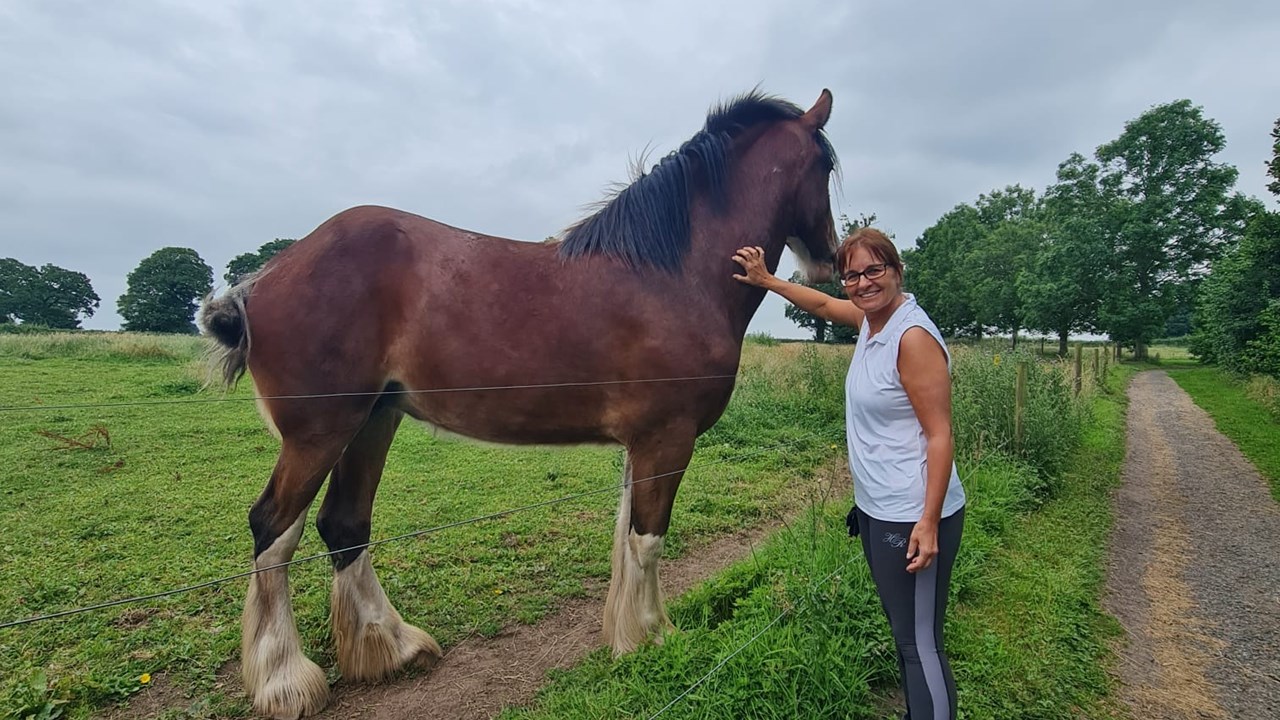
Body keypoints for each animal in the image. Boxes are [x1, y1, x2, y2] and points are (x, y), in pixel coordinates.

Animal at [200, 88, 840, 719]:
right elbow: (648, 539)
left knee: (344, 524)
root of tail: (261, 280)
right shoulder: (668, 438)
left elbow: (626, 535)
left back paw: (392, 646)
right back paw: (285, 682)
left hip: (372, 422)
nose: (830, 259)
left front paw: (628, 634)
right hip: (321, 431)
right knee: (274, 528)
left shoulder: (642, 443)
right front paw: (653, 637)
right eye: (826, 166)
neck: (675, 275)